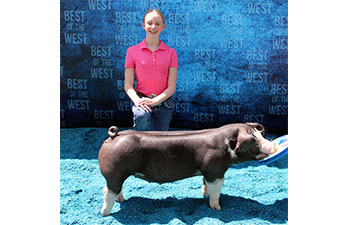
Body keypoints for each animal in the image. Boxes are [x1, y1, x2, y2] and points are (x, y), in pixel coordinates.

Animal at [98, 123, 276, 216]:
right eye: (254, 140)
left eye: (260, 135)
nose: (273, 145)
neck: (225, 145)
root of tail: (114, 136)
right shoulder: (215, 169)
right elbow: (216, 190)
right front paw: (218, 208)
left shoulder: (206, 171)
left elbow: (205, 184)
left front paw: (204, 195)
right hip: (113, 172)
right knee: (107, 192)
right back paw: (104, 214)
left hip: (118, 174)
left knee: (117, 190)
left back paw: (122, 200)